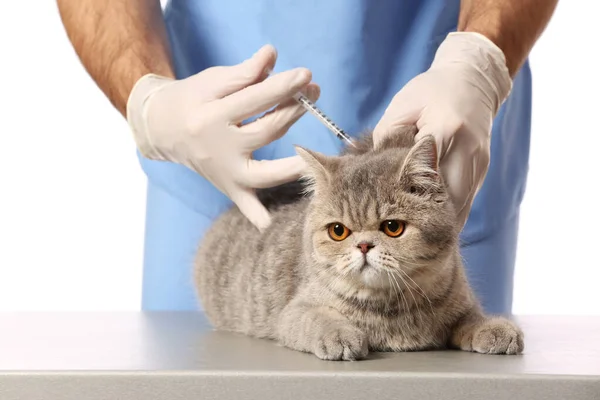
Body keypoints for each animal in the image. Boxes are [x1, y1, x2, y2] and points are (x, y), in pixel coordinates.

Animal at [195, 126, 524, 360]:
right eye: (338, 231)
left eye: (392, 227)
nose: (364, 246)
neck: (390, 308)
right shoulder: (294, 312)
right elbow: (317, 319)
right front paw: (339, 335)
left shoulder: (461, 302)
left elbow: (471, 319)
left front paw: (495, 328)